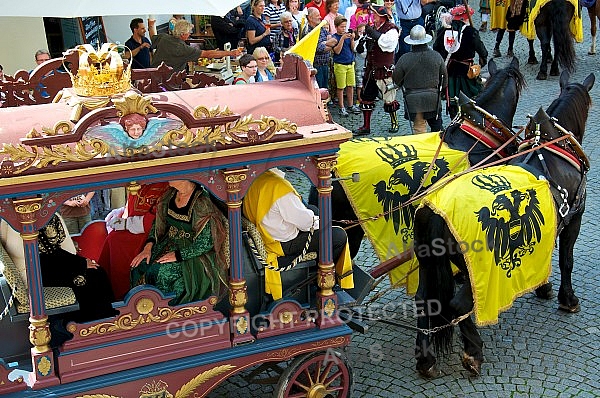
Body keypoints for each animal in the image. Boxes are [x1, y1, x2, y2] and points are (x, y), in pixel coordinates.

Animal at [410, 71, 592, 380]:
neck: (554, 149)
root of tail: (435, 210)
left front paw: (542, 286)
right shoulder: (573, 219)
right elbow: (566, 260)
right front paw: (567, 299)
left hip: (428, 262)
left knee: (425, 300)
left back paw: (426, 359)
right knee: (458, 305)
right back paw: (473, 352)